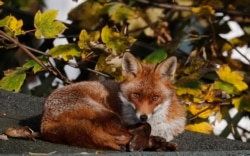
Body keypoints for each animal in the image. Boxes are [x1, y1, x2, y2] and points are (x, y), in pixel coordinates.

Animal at [40, 52, 186, 151]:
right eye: (136, 95)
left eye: (155, 98)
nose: (143, 116)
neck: (157, 125)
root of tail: (45, 120)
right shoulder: (128, 121)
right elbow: (145, 127)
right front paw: (140, 142)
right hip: (110, 115)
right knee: (124, 135)